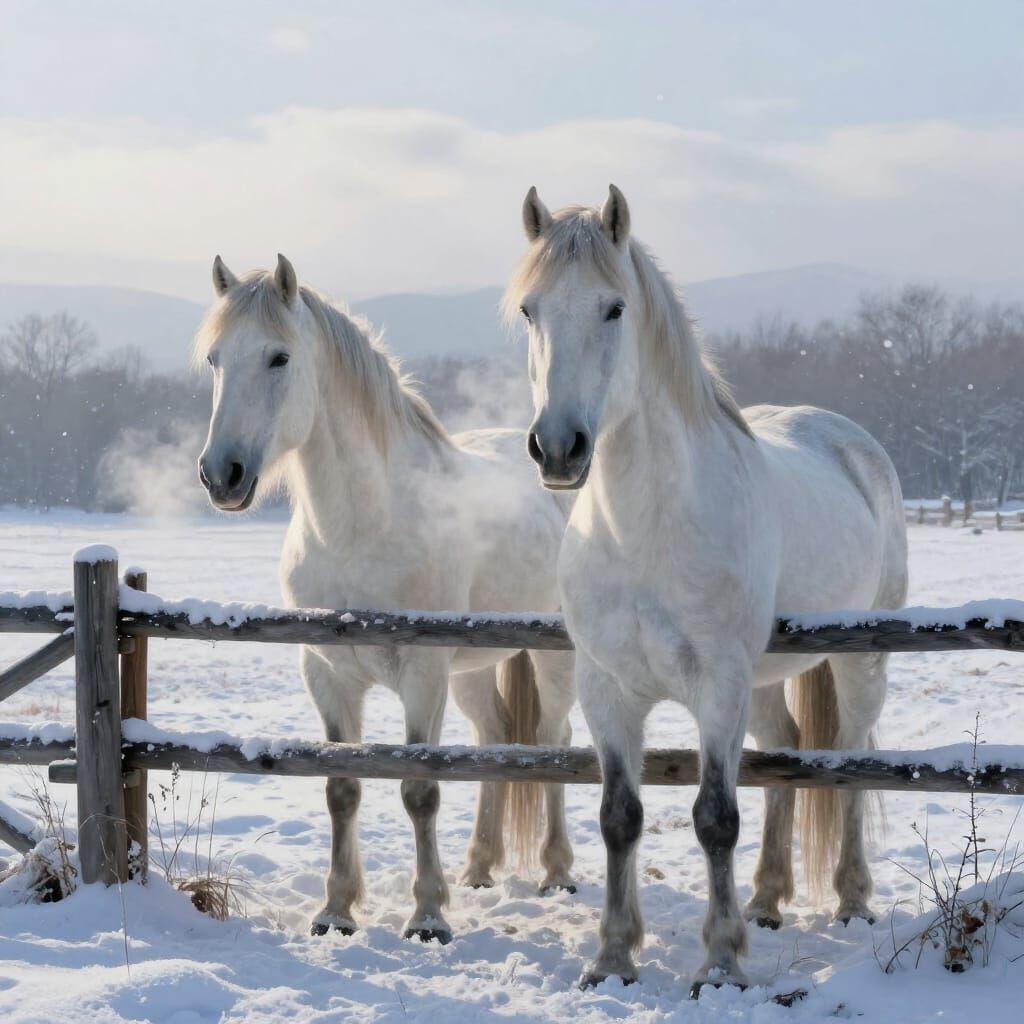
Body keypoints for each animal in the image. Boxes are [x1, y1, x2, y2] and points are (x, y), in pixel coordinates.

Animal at [195, 254, 577, 943]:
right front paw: (336, 911)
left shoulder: (422, 676)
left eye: (279, 357)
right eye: (214, 358)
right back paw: (479, 869)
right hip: (471, 671)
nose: (221, 476)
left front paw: (427, 916)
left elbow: (420, 790)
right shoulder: (327, 675)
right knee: (494, 736)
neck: (363, 527)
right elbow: (341, 789)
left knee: (552, 743)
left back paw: (556, 872)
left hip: (552, 659)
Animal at [505, 186, 908, 993]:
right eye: (530, 310)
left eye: (614, 308)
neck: (645, 530)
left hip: (859, 665)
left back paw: (850, 901)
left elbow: (716, 817)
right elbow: (619, 818)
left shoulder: (717, 685)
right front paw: (612, 958)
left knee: (848, 765)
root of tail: (853, 442)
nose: (558, 448)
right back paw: (766, 902)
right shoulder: (607, 690)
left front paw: (719, 964)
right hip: (767, 681)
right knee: (785, 755)